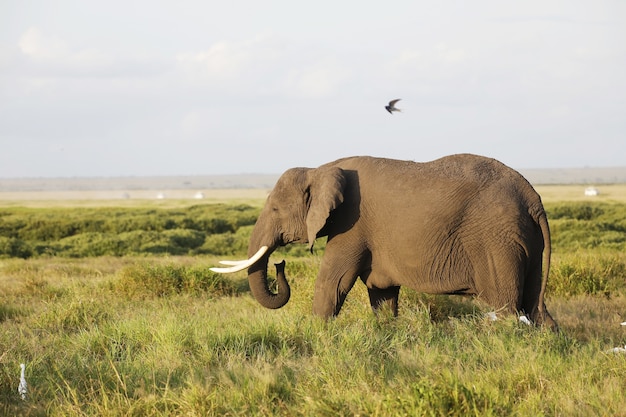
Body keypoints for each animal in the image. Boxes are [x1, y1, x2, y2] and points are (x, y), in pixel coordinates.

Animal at [210, 153, 556, 328]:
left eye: (275, 209)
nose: (280, 264)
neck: (320, 169)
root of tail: (533, 198)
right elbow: (382, 291)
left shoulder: (352, 222)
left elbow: (333, 281)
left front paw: (317, 334)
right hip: (523, 240)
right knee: (534, 307)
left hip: (496, 241)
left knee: (506, 307)